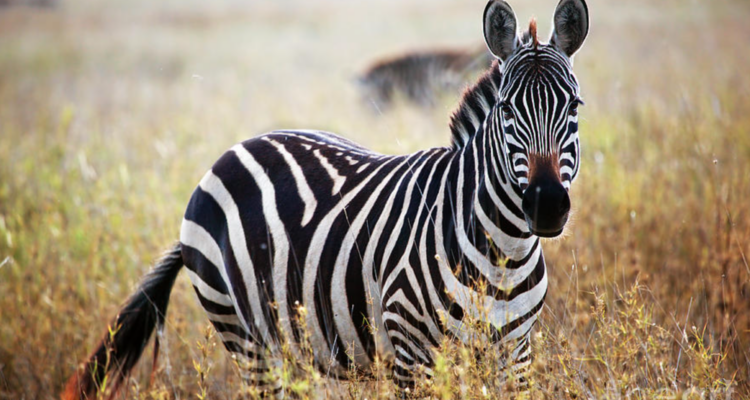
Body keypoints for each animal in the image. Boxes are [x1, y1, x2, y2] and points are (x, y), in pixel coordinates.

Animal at [64, 0, 592, 396]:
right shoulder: (412, 352)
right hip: (247, 339)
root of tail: (235, 149)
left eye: (574, 105)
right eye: (506, 110)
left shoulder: (514, 354)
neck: (502, 252)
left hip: (293, 344)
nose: (546, 205)